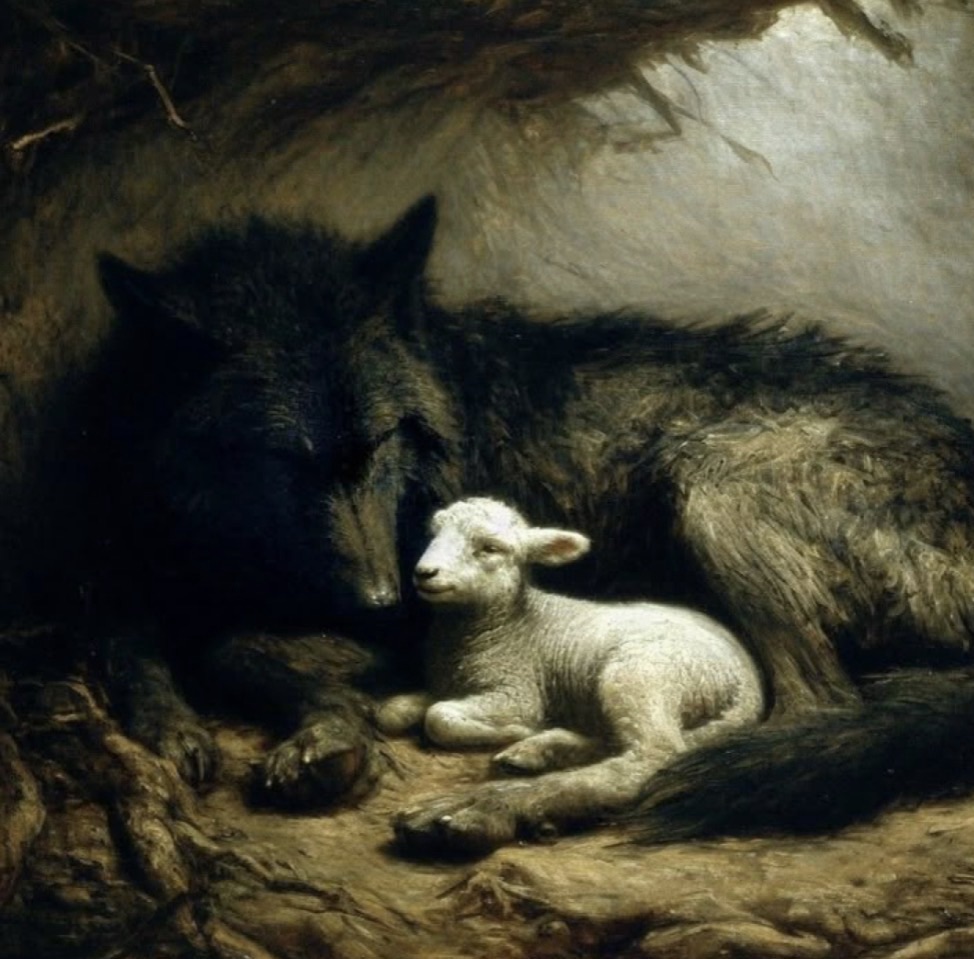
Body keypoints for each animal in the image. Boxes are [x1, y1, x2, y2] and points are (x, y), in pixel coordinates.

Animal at [378, 497, 765, 852]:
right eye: (435, 533)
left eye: (490, 548)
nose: (425, 573)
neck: (511, 624)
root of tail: (751, 687)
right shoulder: (443, 685)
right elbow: (392, 712)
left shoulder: (517, 694)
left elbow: (438, 717)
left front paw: (513, 731)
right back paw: (538, 751)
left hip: (642, 675)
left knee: (653, 754)